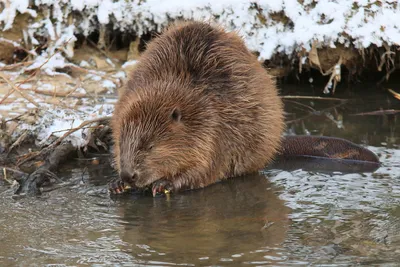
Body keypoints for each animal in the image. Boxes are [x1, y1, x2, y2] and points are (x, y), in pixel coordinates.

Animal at [111, 21, 380, 197]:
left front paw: (164, 185)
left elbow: (205, 169)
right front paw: (116, 185)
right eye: (122, 143)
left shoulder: (214, 129)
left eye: (150, 146)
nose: (128, 176)